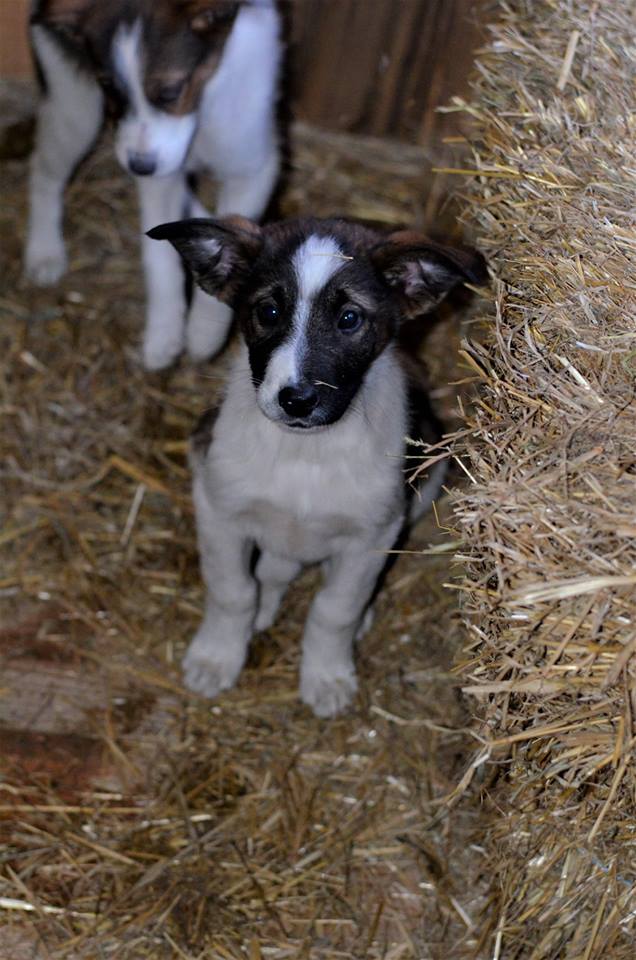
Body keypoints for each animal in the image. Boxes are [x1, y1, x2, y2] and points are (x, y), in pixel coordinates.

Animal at [23, 0, 280, 368]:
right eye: (108, 88)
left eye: (171, 92)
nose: (139, 168)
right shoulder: (158, 173)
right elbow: (159, 254)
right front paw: (165, 333)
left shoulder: (253, 166)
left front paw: (203, 332)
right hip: (73, 107)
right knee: (43, 170)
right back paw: (44, 251)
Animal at [149, 214, 486, 716]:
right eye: (269, 312)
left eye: (349, 319)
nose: (297, 399)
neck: (304, 452)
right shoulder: (218, 510)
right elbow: (232, 592)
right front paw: (216, 657)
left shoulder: (374, 532)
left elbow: (334, 609)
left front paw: (326, 674)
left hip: (427, 472)